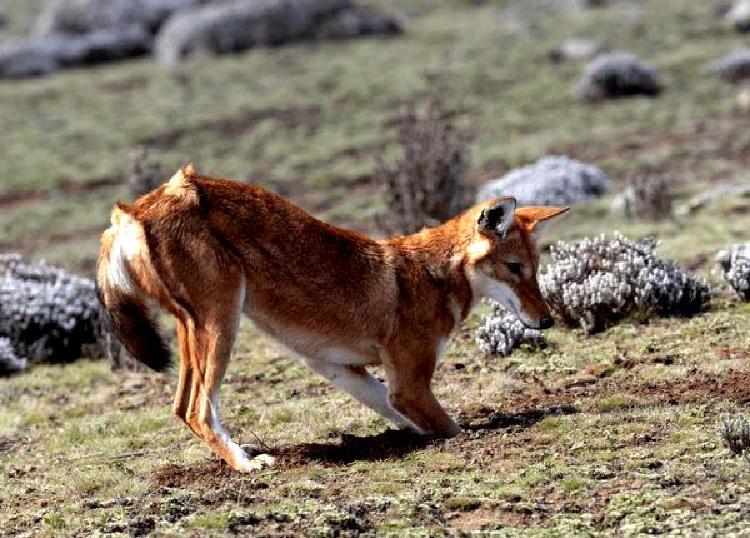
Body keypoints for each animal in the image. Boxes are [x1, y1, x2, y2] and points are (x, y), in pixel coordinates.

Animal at [97, 165, 568, 472]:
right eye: (515, 270)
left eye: (535, 270)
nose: (547, 322)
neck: (434, 275)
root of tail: (131, 210)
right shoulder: (410, 384)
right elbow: (449, 427)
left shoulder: (336, 366)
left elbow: (393, 410)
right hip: (221, 323)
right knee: (197, 409)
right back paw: (247, 465)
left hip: (192, 330)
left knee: (181, 407)